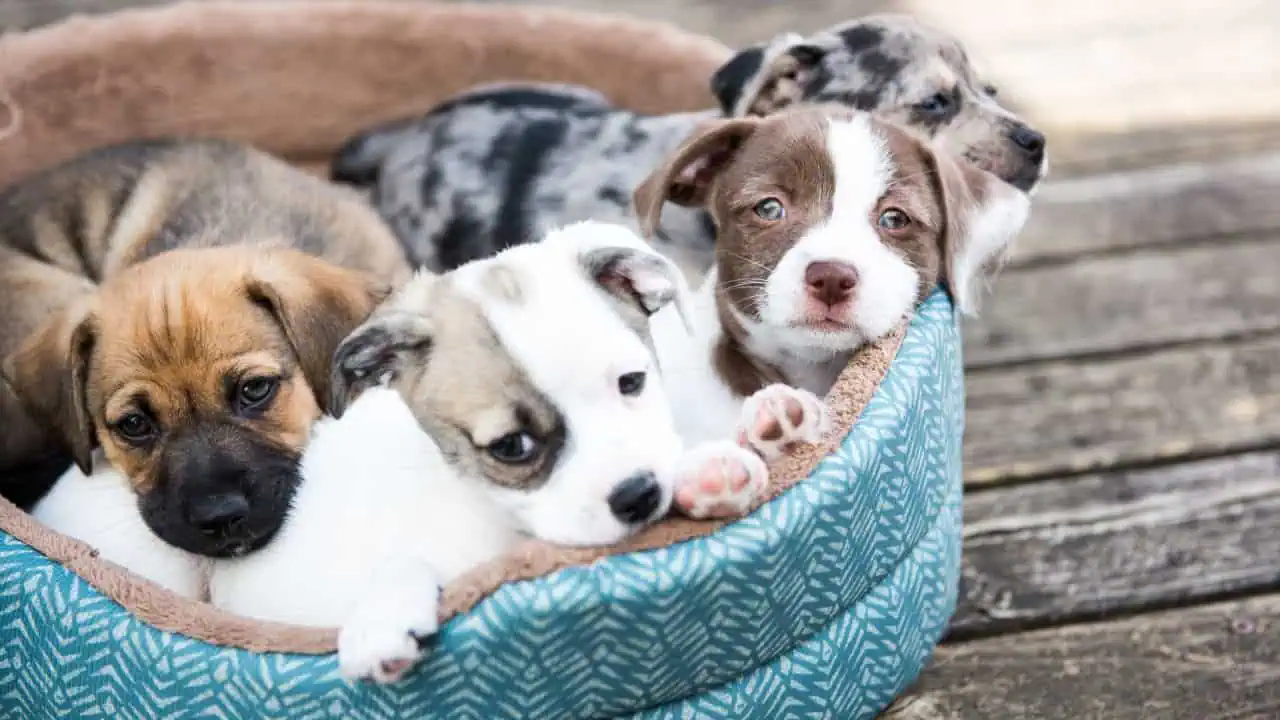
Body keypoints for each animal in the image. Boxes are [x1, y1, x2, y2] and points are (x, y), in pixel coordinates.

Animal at [211, 221, 808, 681]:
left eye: (633, 381)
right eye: (511, 447)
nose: (639, 495)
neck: (493, 518)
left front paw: (711, 468)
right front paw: (382, 619)